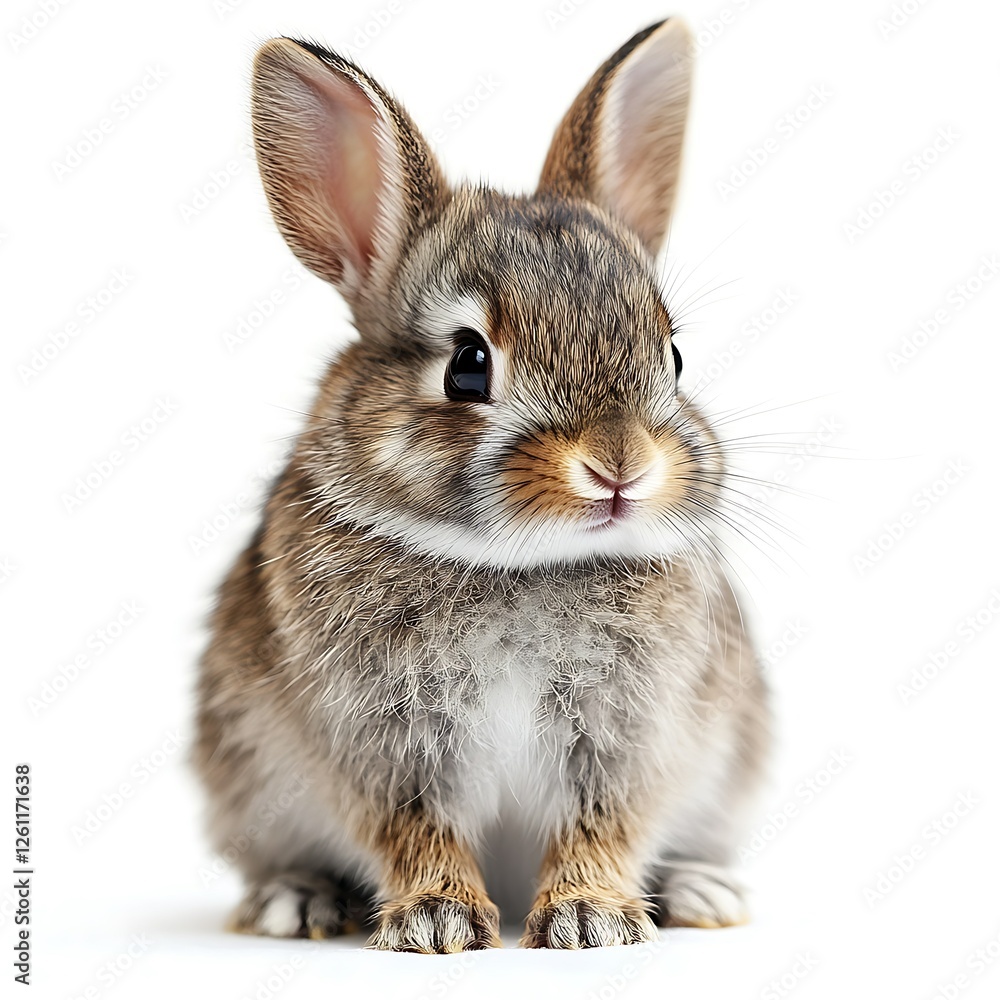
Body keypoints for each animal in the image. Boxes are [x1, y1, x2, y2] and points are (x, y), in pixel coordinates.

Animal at [195, 18, 771, 952]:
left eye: (674, 356)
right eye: (468, 365)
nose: (620, 465)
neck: (518, 566)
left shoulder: (626, 736)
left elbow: (602, 822)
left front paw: (589, 918)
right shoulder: (384, 741)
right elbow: (413, 825)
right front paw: (435, 921)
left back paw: (698, 891)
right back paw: (296, 899)